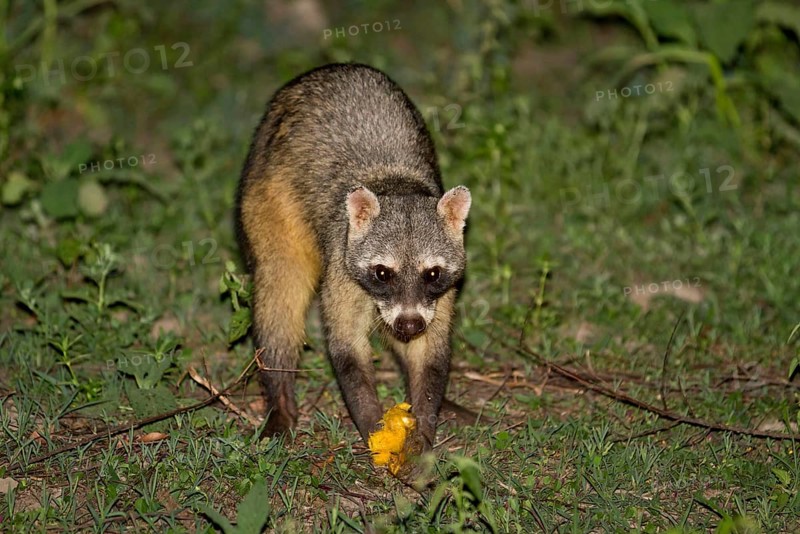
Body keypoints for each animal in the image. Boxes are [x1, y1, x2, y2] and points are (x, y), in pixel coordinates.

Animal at [235, 63, 471, 452]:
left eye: (432, 274)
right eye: (383, 273)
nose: (409, 324)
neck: (397, 185)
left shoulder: (439, 294)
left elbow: (429, 351)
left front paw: (424, 419)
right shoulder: (342, 261)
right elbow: (347, 349)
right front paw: (375, 426)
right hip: (266, 198)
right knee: (280, 292)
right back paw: (278, 390)